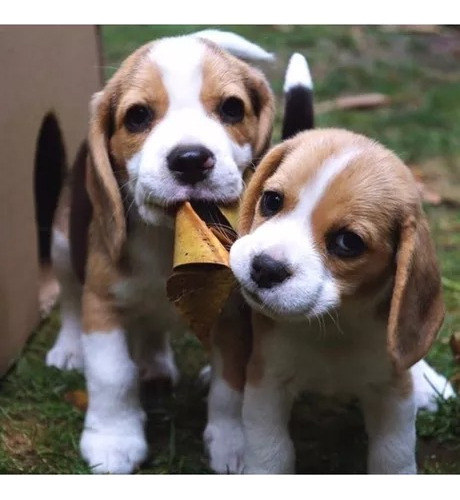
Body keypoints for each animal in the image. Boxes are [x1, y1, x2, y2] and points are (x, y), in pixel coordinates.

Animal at [46, 31, 274, 472]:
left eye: (232, 108)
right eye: (137, 117)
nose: (190, 160)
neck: (170, 237)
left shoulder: (232, 314)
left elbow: (230, 386)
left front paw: (233, 444)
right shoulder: (101, 304)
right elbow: (113, 376)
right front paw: (113, 440)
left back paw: (155, 364)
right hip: (62, 243)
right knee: (68, 298)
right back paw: (69, 349)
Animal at [208, 53, 452, 472]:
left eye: (347, 243)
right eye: (271, 201)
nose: (264, 268)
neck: (335, 325)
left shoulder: (392, 391)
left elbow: (393, 453)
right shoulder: (267, 381)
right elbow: (271, 449)